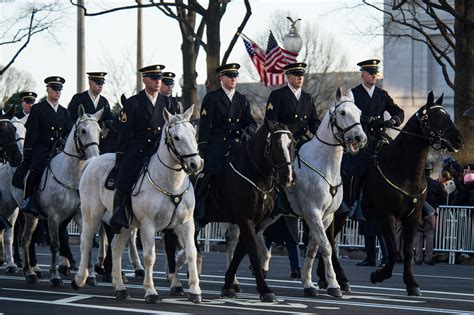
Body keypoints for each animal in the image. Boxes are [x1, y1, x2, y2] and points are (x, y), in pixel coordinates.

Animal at [19, 105, 104, 286]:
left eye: (99, 131)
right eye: (83, 130)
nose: (95, 157)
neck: (71, 174)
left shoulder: (80, 215)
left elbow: (86, 241)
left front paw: (90, 276)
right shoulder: (53, 216)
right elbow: (55, 245)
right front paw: (54, 276)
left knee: (28, 240)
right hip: (25, 214)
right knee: (25, 240)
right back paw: (29, 272)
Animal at [72, 107, 204, 304]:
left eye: (194, 134)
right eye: (177, 137)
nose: (196, 164)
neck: (170, 182)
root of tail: (92, 161)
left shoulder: (186, 224)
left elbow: (191, 253)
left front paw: (195, 291)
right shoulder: (148, 224)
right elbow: (150, 256)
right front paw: (151, 291)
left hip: (125, 224)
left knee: (116, 247)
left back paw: (119, 287)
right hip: (91, 215)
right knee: (86, 242)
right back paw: (80, 279)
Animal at [316, 91, 462, 296]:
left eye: (447, 115)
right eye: (436, 117)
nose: (458, 139)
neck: (403, 170)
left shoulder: (413, 217)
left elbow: (406, 251)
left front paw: (411, 283)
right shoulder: (387, 215)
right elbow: (393, 251)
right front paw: (379, 275)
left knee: (327, 239)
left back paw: (327, 278)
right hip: (338, 212)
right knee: (329, 240)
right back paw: (339, 280)